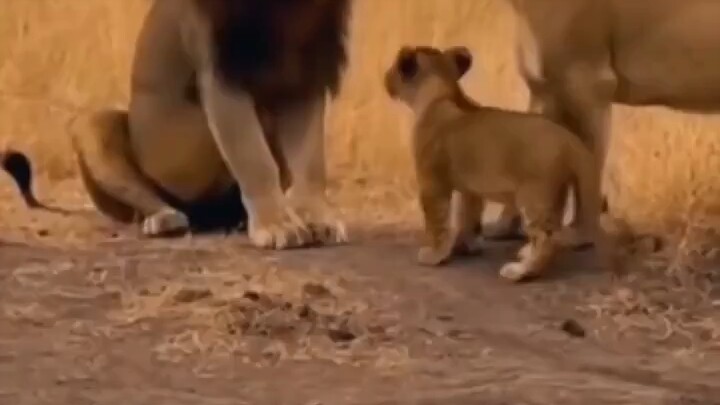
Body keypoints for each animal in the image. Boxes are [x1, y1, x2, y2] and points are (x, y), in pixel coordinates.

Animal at [70, 0, 351, 248]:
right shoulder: (221, 69)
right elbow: (254, 159)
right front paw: (276, 225)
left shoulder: (306, 68)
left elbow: (311, 162)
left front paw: (317, 219)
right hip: (91, 126)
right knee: (148, 199)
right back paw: (164, 220)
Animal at [383, 45, 604, 282]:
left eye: (394, 69)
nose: (385, 79)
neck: (442, 92)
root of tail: (568, 137)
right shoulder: (470, 188)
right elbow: (468, 217)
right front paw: (465, 247)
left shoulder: (432, 182)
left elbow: (437, 222)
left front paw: (434, 255)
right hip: (557, 192)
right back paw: (525, 253)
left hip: (534, 195)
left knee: (545, 239)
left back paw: (520, 271)